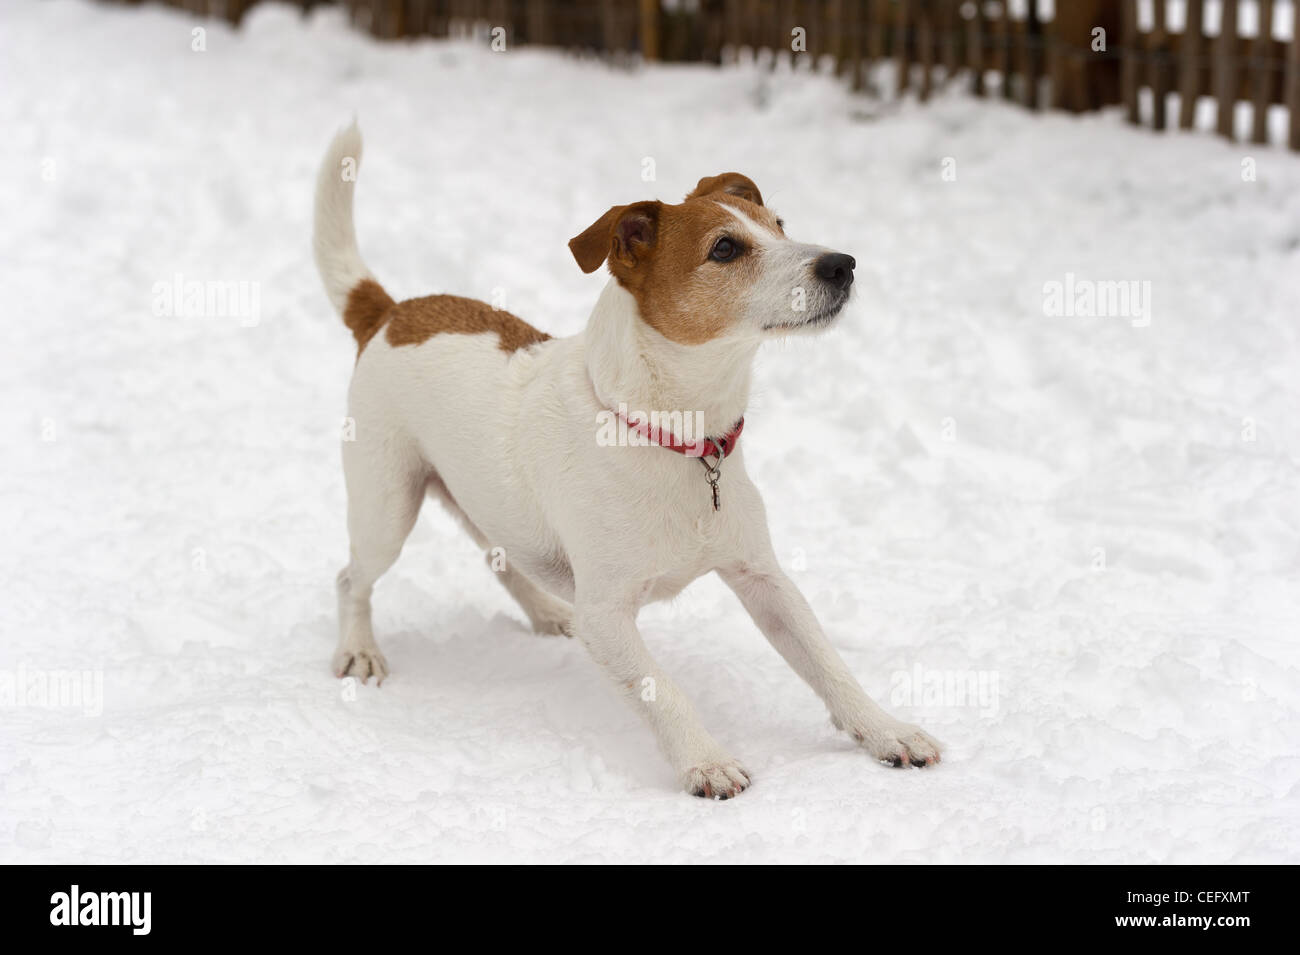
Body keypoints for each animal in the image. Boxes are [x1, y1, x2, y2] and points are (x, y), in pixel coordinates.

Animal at [314, 127, 946, 800]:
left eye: (779, 225)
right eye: (725, 248)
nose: (843, 264)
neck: (678, 438)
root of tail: (389, 312)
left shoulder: (765, 579)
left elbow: (829, 665)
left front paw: (885, 731)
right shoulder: (608, 614)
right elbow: (660, 690)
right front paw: (705, 761)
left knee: (502, 560)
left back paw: (546, 611)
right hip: (386, 508)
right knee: (352, 578)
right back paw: (359, 650)